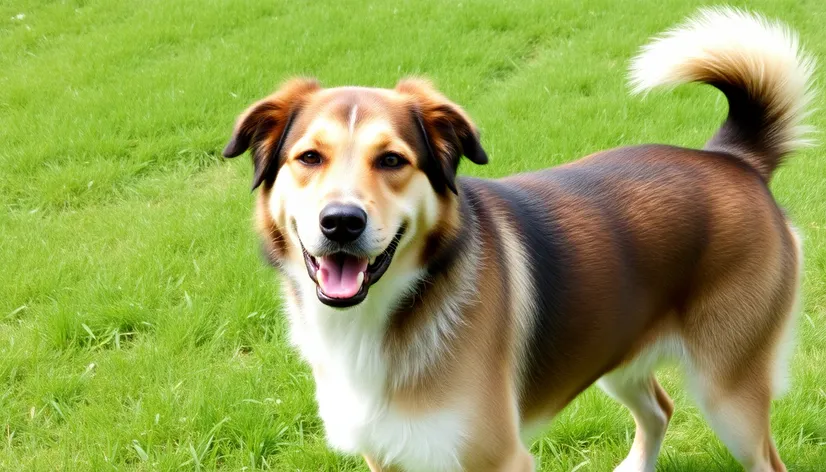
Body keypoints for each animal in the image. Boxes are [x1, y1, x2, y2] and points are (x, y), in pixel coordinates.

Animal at [222, 8, 808, 472]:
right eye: (309, 158)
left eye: (391, 160)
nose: (341, 222)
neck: (385, 315)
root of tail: (734, 157)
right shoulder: (389, 455)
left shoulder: (499, 458)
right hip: (615, 349)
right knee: (659, 409)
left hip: (729, 392)